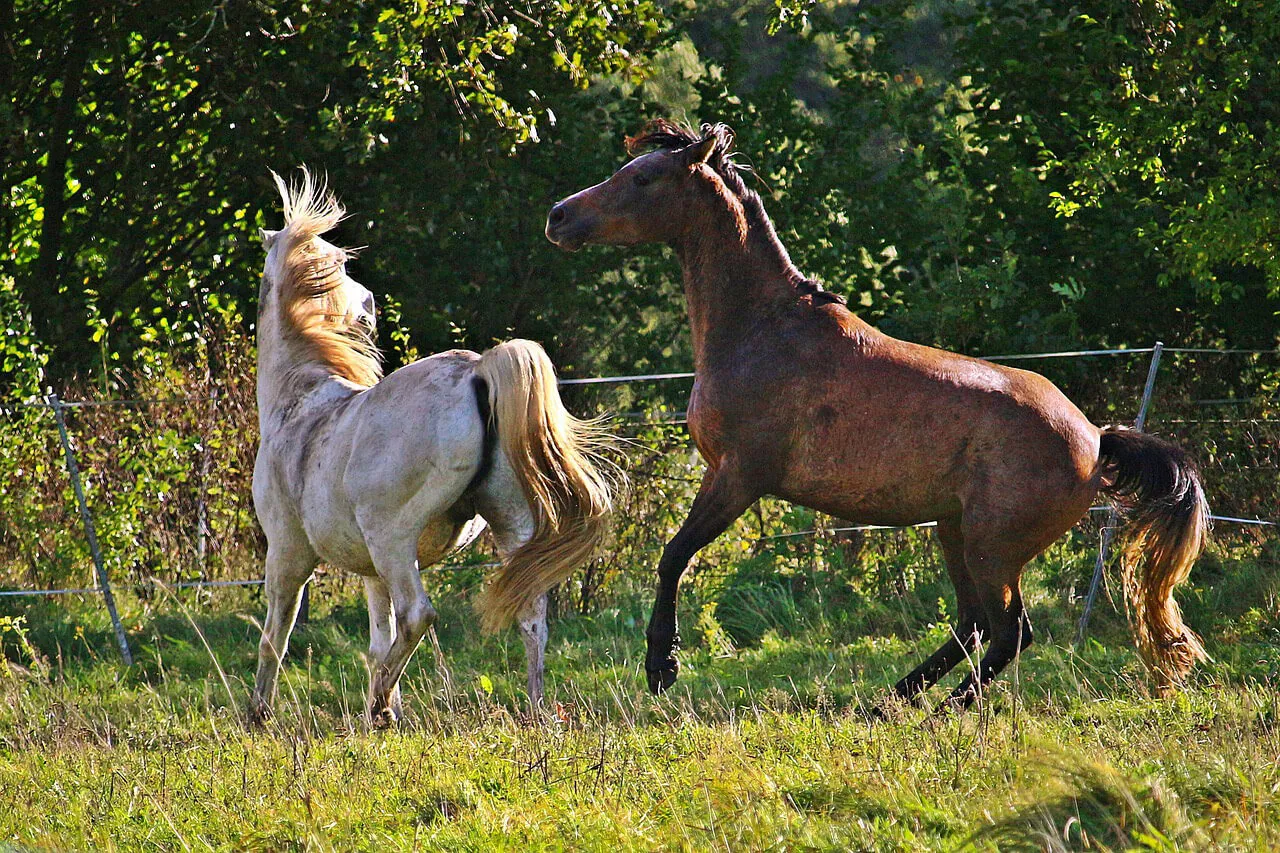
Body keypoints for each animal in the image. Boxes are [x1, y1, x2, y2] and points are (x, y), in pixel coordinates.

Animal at [249, 168, 616, 726]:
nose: (370, 306)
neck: (299, 398)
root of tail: (478, 370)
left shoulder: (288, 553)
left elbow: (277, 635)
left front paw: (258, 713)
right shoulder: (369, 571)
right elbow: (376, 641)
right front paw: (393, 714)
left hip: (393, 540)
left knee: (418, 614)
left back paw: (376, 706)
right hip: (509, 525)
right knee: (530, 616)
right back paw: (533, 712)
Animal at [545, 120, 1209, 711]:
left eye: (644, 177)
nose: (559, 216)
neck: (761, 329)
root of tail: (1096, 438)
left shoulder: (738, 476)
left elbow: (673, 556)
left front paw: (662, 665)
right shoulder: (727, 475)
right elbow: (674, 556)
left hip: (991, 548)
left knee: (1009, 632)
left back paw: (941, 710)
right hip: (954, 531)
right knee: (973, 625)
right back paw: (888, 701)